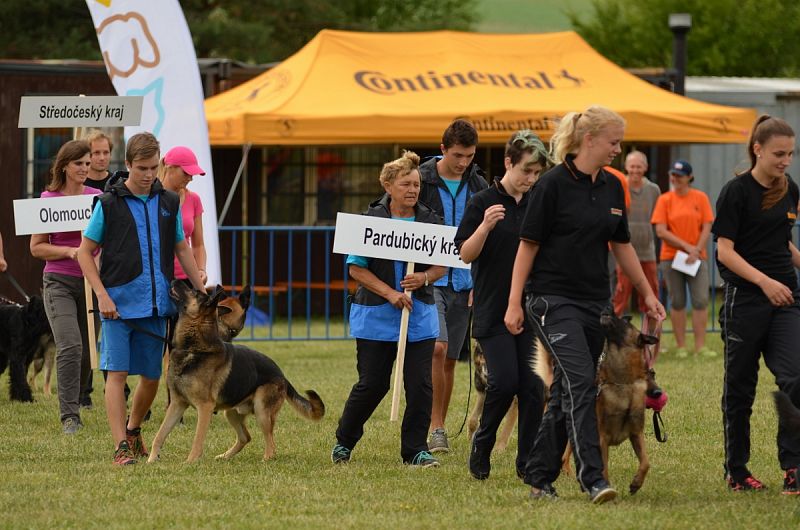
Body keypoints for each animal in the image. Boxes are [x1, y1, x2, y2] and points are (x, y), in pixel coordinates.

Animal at [147, 280, 324, 462]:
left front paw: (190, 462)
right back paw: (225, 456)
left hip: (261, 411)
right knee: (246, 437)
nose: (175, 280)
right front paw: (151, 460)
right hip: (231, 413)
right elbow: (159, 435)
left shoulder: (205, 408)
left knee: (271, 444)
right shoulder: (177, 404)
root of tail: (281, 375)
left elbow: (197, 440)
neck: (193, 348)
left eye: (194, 292)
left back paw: (266, 460)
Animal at [536, 310, 660, 490]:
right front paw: (604, 486)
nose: (607, 310)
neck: (624, 384)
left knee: (565, 456)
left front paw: (636, 483)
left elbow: (646, 462)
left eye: (652, 374)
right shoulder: (602, 438)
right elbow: (604, 469)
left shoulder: (636, 434)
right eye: (625, 320)